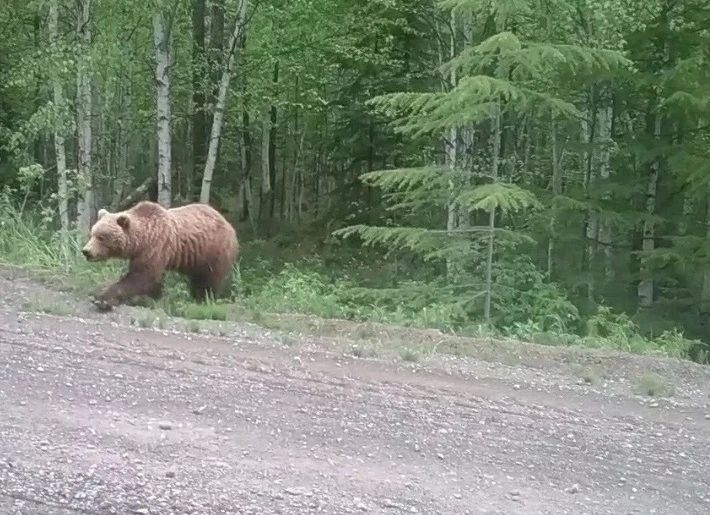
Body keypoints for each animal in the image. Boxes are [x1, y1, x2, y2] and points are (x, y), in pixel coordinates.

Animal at [82, 200, 238, 311]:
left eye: (101, 237)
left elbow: (142, 277)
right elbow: (152, 280)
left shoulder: (155, 246)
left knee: (209, 279)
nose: (86, 251)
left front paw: (102, 299)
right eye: (92, 234)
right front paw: (153, 297)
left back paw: (203, 299)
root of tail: (228, 223)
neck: (140, 242)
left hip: (213, 251)